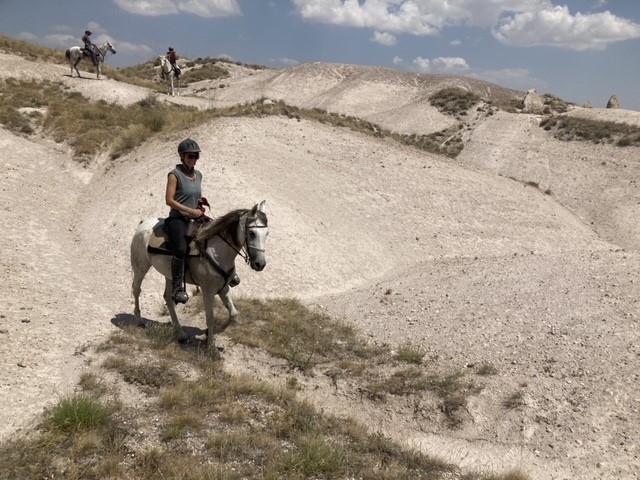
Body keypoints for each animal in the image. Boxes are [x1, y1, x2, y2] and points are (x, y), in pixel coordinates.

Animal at [130, 201, 270, 354]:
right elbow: (210, 318)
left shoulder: (223, 288)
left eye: (267, 234)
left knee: (168, 298)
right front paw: (211, 348)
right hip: (141, 267)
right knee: (136, 289)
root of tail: (143, 223)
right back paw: (139, 320)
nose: (260, 264)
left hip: (170, 275)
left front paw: (208, 334)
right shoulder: (208, 291)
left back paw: (181, 334)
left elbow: (234, 314)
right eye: (252, 233)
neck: (217, 252)